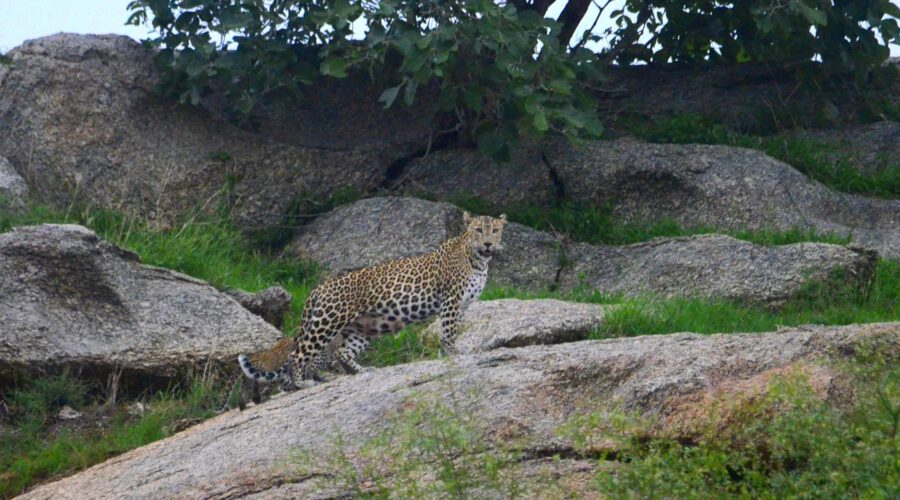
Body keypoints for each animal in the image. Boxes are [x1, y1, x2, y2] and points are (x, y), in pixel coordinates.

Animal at [239, 211, 506, 390]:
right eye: (478, 230)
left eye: (495, 230)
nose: (488, 243)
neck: (478, 261)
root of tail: (319, 287)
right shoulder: (451, 299)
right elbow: (449, 331)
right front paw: (453, 353)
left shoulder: (463, 305)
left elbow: (453, 329)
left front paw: (450, 353)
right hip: (327, 322)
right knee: (299, 354)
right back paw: (303, 383)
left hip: (363, 328)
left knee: (342, 353)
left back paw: (362, 371)